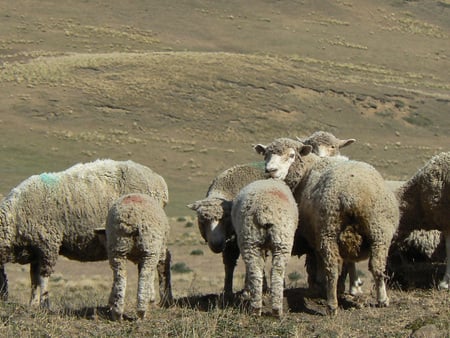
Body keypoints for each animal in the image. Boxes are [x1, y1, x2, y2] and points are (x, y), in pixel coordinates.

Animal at [0, 158, 169, 306]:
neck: (15, 217)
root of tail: (160, 181)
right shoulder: (35, 249)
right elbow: (33, 279)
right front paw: (33, 304)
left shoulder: (48, 244)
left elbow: (43, 276)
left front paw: (44, 304)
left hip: (150, 231)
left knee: (161, 260)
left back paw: (161, 299)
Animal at [232, 180, 298, 316]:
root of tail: (264, 211)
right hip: (282, 240)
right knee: (277, 272)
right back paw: (277, 310)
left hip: (250, 240)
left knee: (255, 271)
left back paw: (256, 308)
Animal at [255, 137, 400, 314]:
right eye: (266, 155)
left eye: (291, 155)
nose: (270, 170)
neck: (308, 169)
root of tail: (352, 195)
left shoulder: (313, 234)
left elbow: (317, 258)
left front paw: (320, 282)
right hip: (379, 231)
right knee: (377, 266)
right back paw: (382, 299)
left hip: (328, 230)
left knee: (332, 268)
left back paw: (332, 304)